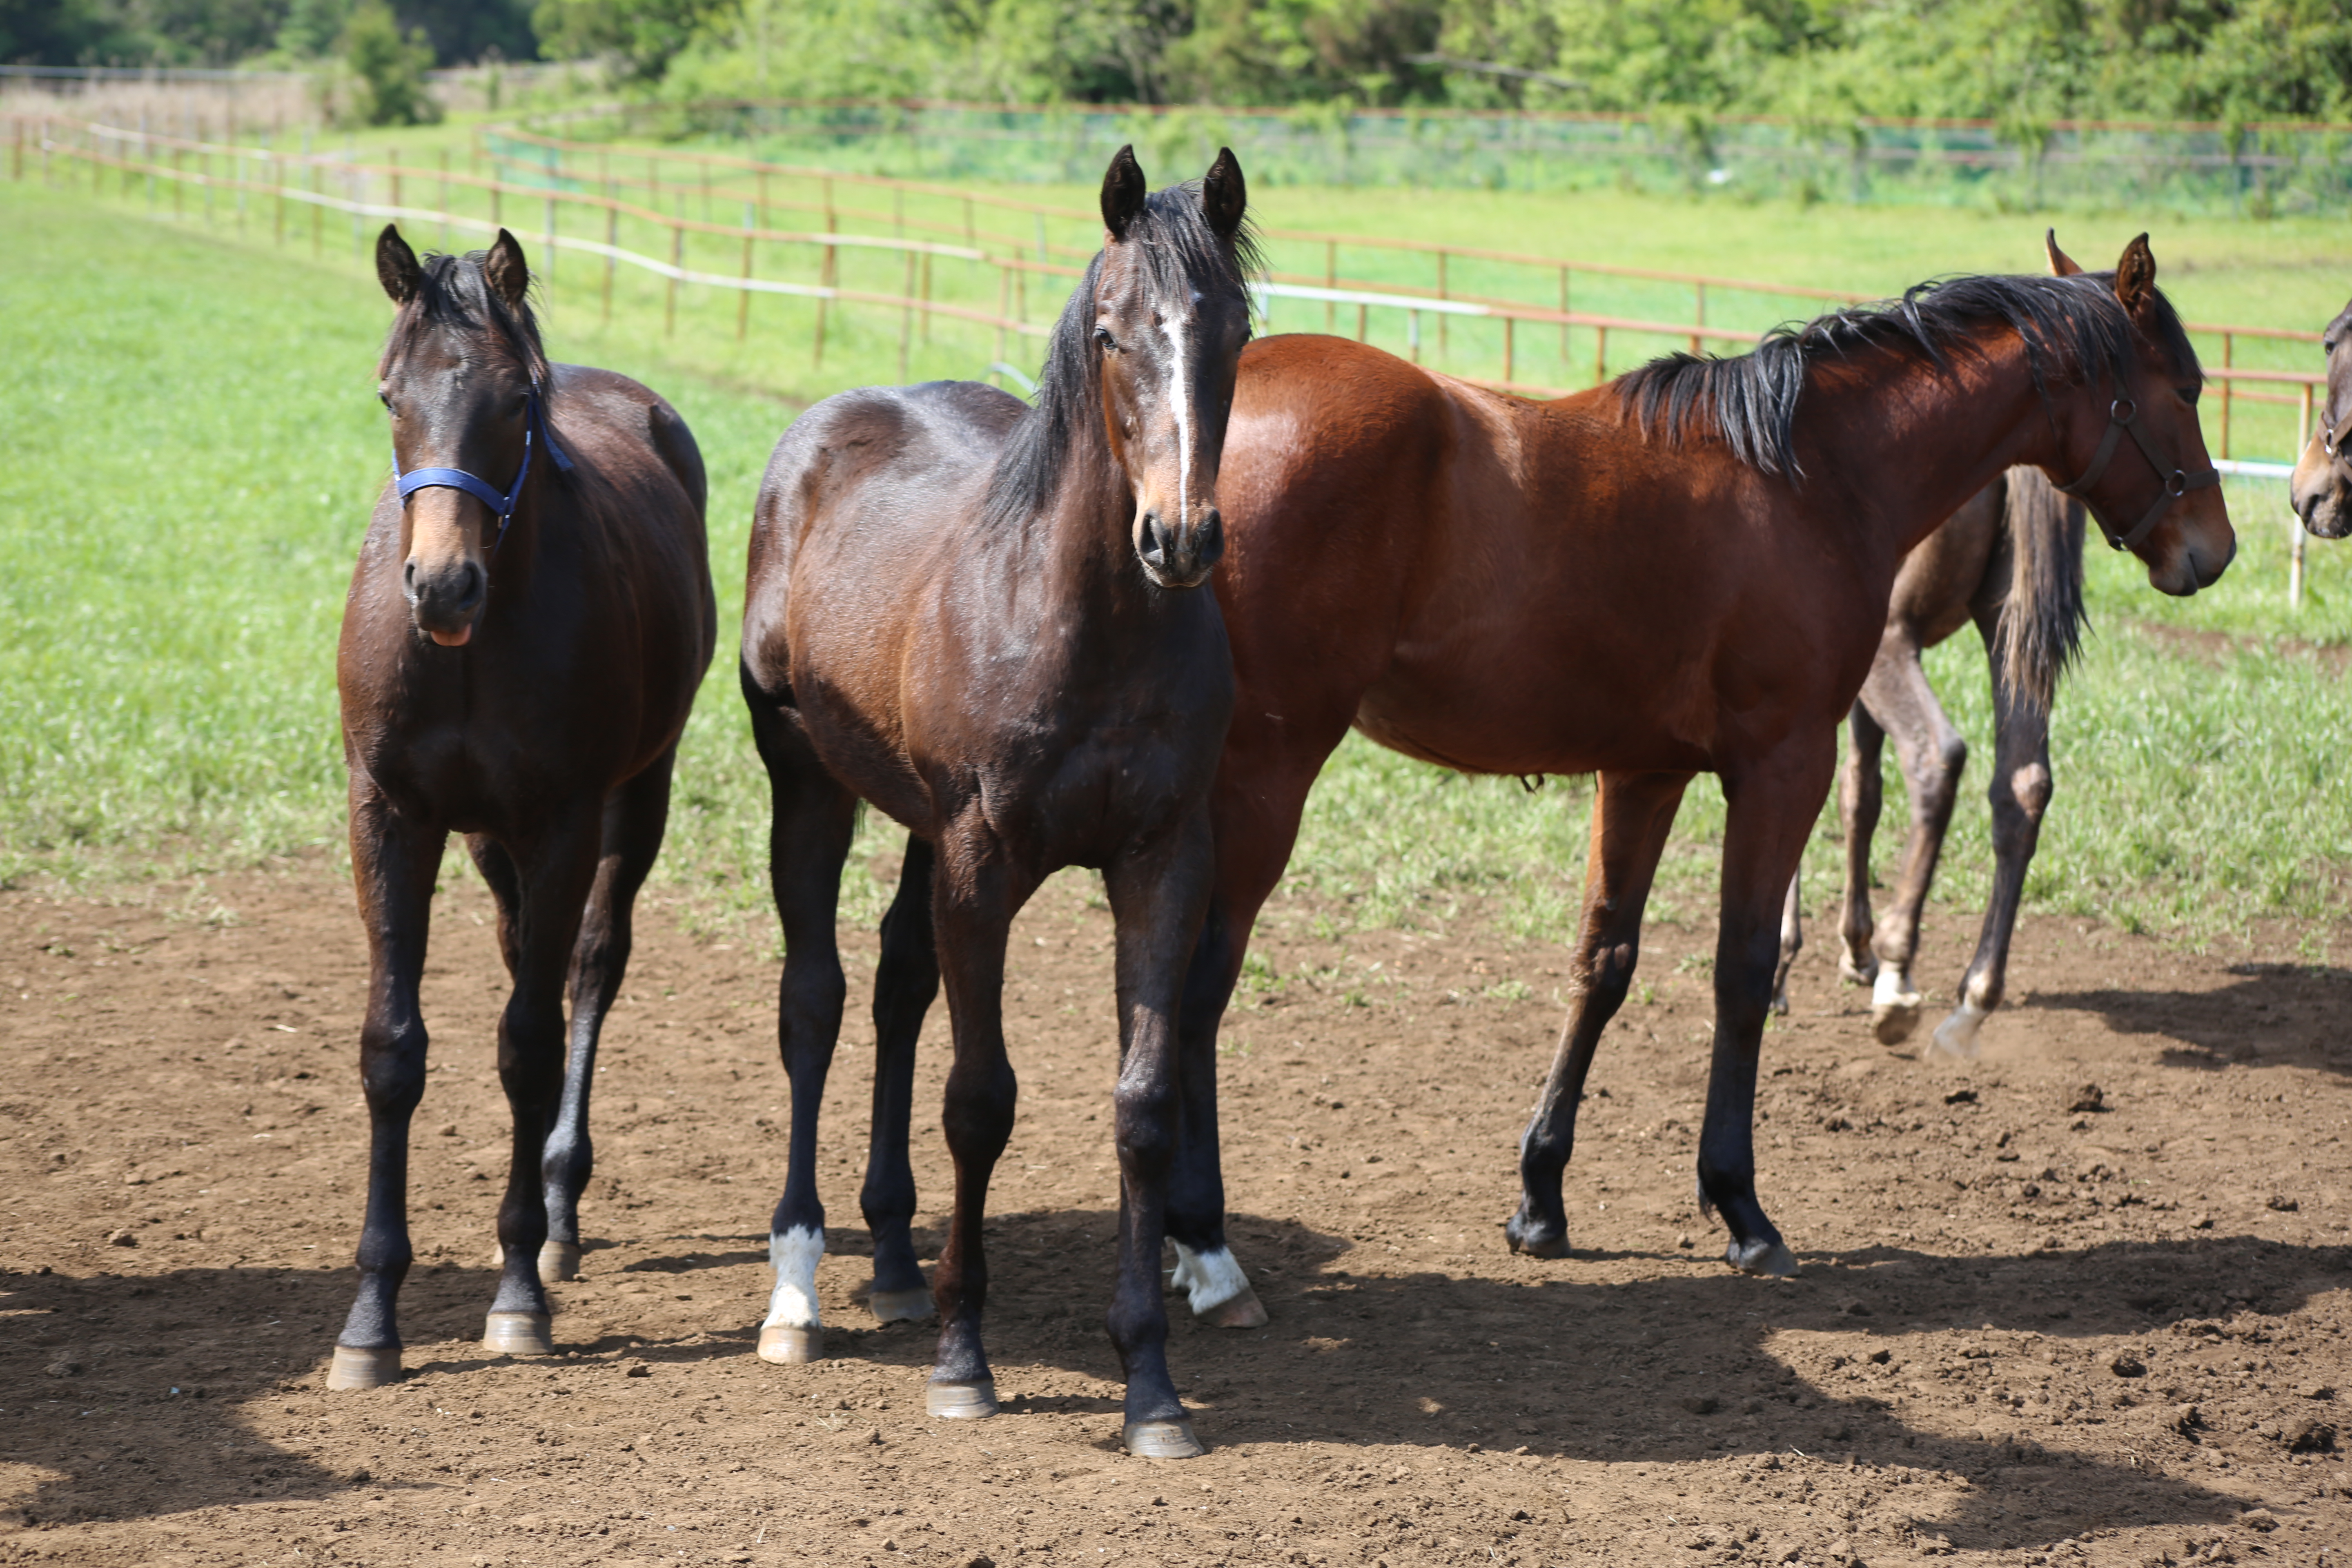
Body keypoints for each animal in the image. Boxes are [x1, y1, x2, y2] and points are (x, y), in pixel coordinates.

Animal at [329, 227, 715, 1392]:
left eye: (513, 402)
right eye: (390, 395)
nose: (441, 585)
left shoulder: (563, 824)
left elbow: (529, 1047)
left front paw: (514, 1295)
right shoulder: (391, 817)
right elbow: (393, 1051)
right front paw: (371, 1319)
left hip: (635, 799)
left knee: (586, 969)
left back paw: (558, 1213)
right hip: (486, 840)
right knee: (517, 954)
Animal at [738, 147, 1261, 1457]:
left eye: (1235, 329)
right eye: (1115, 334)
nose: (1181, 538)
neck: (1081, 622)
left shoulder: (1162, 860)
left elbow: (1141, 1104)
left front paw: (1150, 1387)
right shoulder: (983, 860)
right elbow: (979, 1103)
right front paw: (962, 1363)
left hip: (919, 830)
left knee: (894, 984)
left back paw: (890, 1256)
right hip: (808, 786)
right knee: (814, 1001)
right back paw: (798, 1287)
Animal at [1147, 230, 2230, 1297]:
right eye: (2184, 387)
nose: (2211, 550)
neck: (1814, 477)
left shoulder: (1642, 772)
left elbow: (1603, 963)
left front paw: (1541, 1196)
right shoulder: (1781, 763)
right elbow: (1741, 970)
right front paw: (1739, 1204)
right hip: (1268, 776)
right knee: (1196, 985)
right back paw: (1200, 1238)